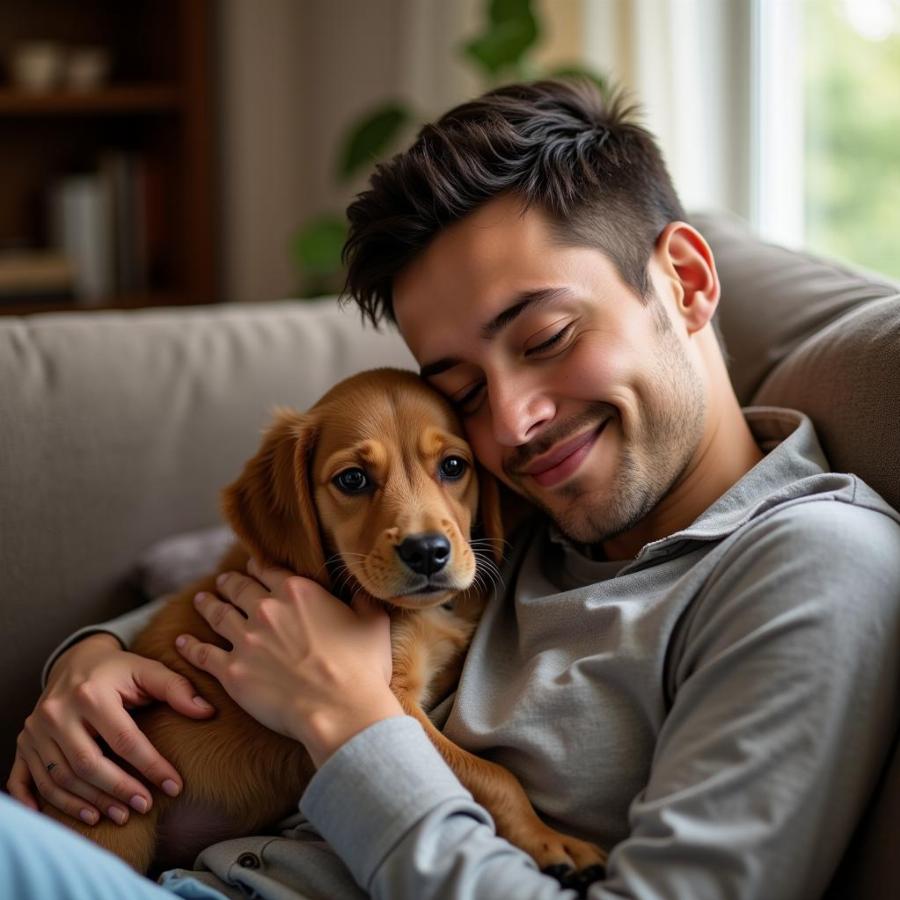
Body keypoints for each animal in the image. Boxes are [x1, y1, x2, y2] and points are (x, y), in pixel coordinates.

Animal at [40, 366, 604, 880]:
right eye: (352, 479)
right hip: (116, 819)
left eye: (452, 466)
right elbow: (491, 772)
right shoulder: (391, 698)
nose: (427, 552)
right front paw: (553, 841)